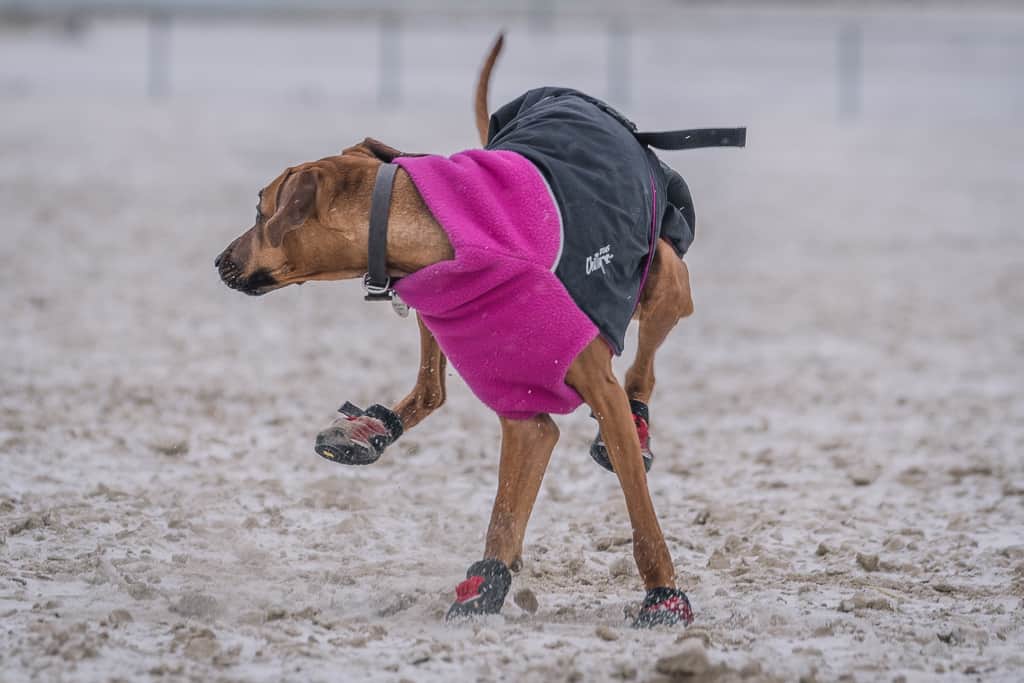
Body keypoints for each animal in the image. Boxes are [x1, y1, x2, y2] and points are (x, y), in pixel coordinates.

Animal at [216, 34, 696, 626]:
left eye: (261, 211)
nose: (219, 262)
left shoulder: (596, 390)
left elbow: (640, 512)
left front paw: (664, 595)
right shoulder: (520, 408)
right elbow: (506, 511)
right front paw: (485, 587)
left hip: (667, 277)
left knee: (642, 368)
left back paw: (638, 420)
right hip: (434, 315)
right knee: (432, 387)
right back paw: (372, 430)